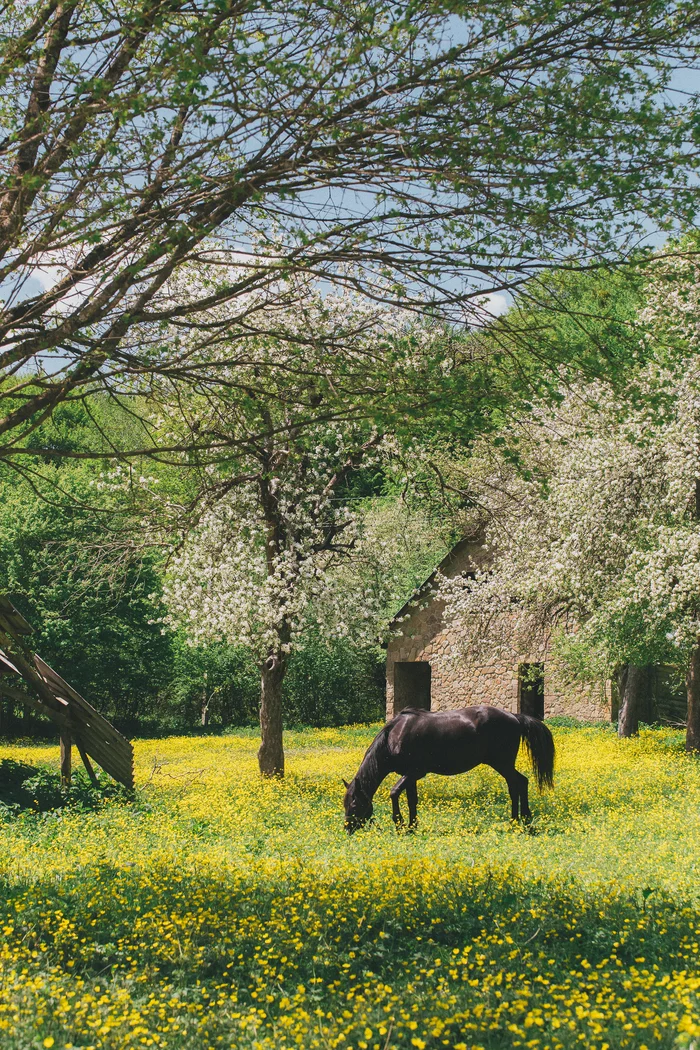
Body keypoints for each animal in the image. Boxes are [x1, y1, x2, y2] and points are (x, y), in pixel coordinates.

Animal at [342, 709, 554, 831]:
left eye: (354, 804)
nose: (348, 829)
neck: (394, 736)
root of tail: (515, 717)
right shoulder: (410, 776)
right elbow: (412, 801)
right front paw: (412, 826)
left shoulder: (414, 772)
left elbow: (394, 793)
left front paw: (400, 824)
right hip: (503, 764)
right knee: (519, 784)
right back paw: (520, 820)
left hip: (502, 763)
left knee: (517, 784)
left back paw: (518, 820)